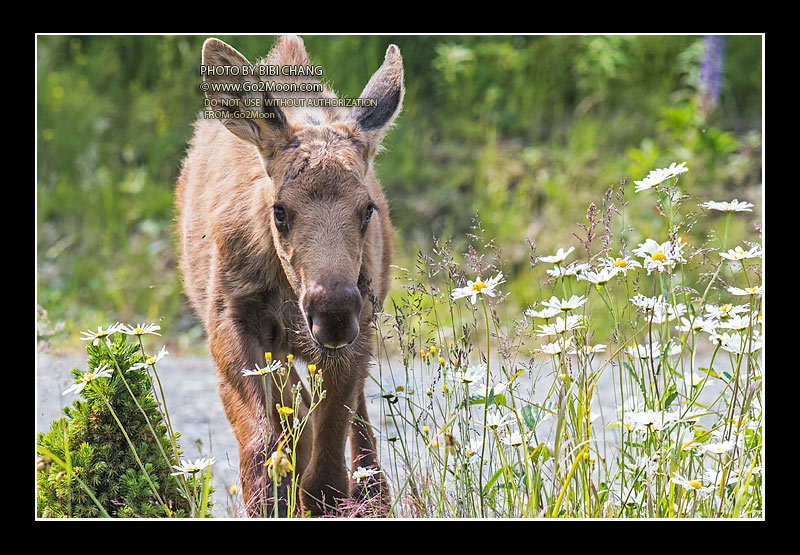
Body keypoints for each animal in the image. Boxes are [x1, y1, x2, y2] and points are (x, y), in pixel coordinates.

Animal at [175, 35, 403, 516]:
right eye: (279, 210)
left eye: (367, 209)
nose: (332, 312)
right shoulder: (229, 319)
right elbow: (262, 454)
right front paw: (278, 497)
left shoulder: (357, 332)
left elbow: (328, 473)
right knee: (294, 417)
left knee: (350, 424)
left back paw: (374, 495)